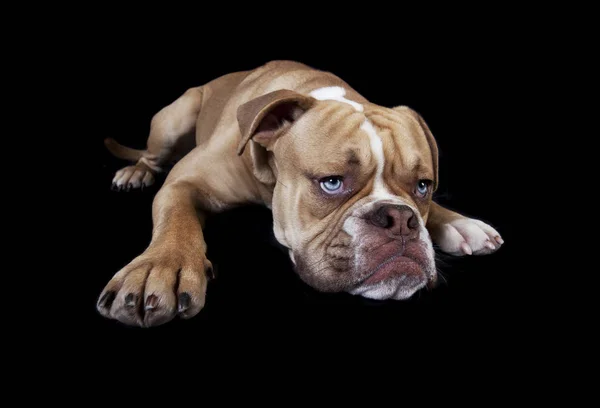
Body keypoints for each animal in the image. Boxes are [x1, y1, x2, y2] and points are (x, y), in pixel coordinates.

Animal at [97, 60, 502, 326]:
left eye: (423, 186)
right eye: (332, 182)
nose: (401, 219)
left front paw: (460, 223)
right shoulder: (183, 181)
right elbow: (177, 220)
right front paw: (161, 266)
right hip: (172, 120)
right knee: (151, 156)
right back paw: (135, 172)